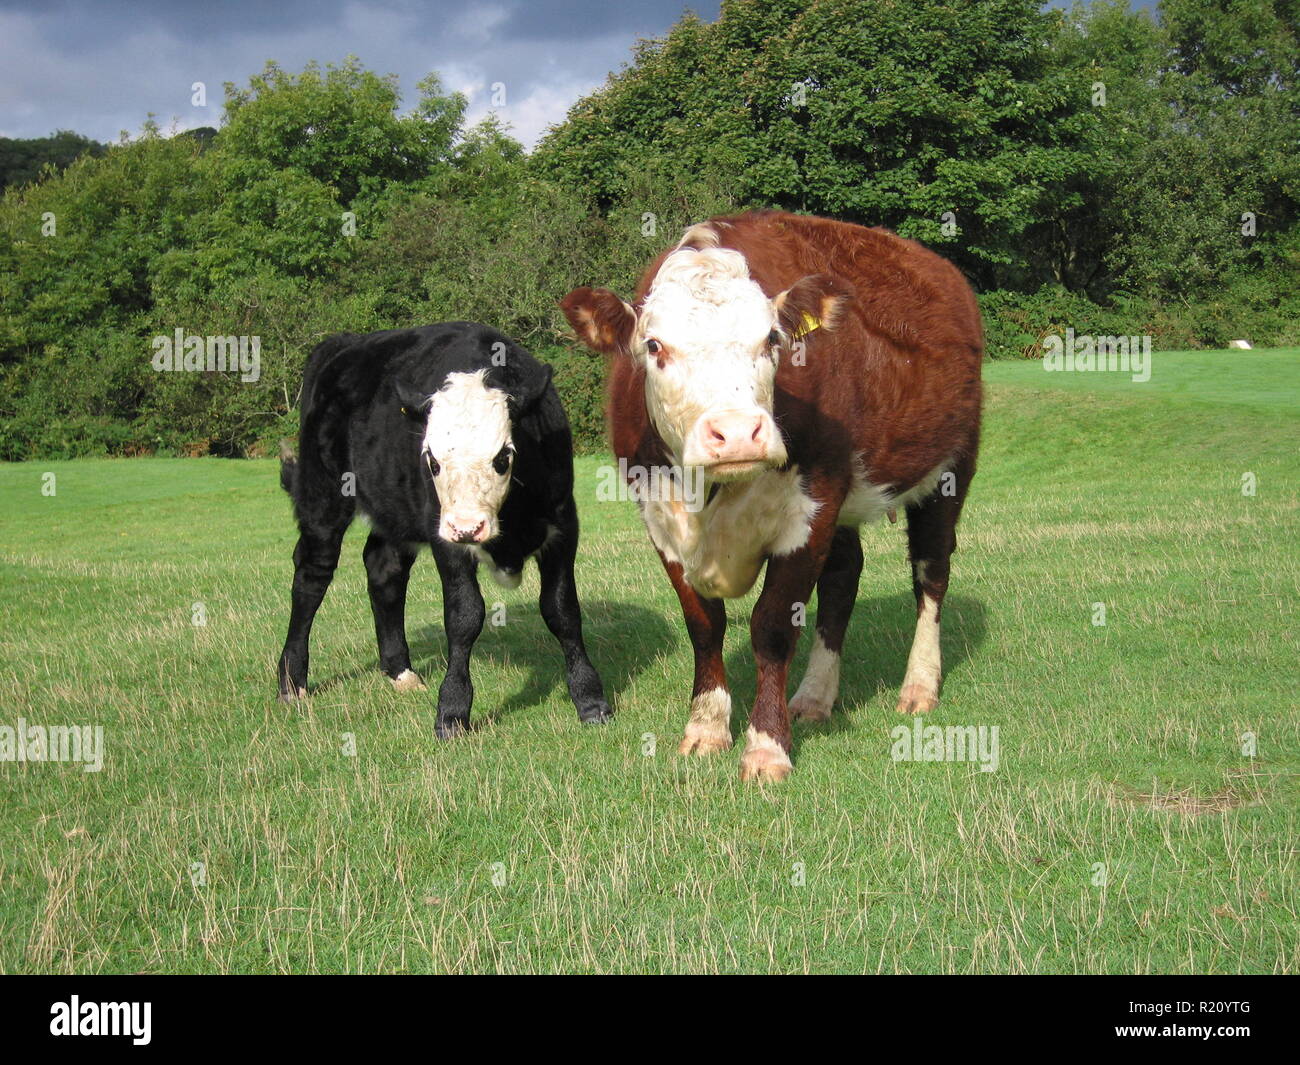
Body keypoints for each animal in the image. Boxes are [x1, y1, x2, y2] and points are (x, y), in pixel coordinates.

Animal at [276, 322, 612, 737]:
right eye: (432, 459)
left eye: (503, 456)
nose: (467, 526)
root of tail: (340, 343)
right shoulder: (446, 539)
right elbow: (464, 616)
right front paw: (452, 710)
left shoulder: (563, 526)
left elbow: (561, 611)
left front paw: (590, 699)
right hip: (323, 496)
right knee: (311, 576)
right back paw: (292, 681)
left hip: (396, 509)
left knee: (384, 569)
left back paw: (400, 671)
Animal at [561, 210, 982, 782]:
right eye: (654, 346)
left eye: (772, 339)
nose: (738, 433)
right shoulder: (660, 520)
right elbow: (704, 626)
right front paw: (706, 727)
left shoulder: (812, 507)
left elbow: (773, 626)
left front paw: (765, 746)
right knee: (844, 579)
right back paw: (815, 697)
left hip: (948, 471)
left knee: (931, 573)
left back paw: (918, 685)